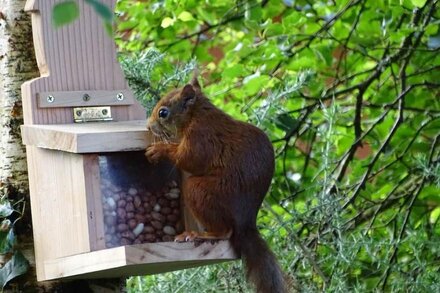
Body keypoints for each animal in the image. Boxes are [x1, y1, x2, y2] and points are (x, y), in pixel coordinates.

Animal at [146, 74, 288, 290]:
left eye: (163, 112)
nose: (148, 125)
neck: (195, 115)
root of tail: (245, 223)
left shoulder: (202, 137)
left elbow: (189, 159)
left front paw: (160, 149)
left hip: (201, 191)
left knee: (225, 231)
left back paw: (201, 234)